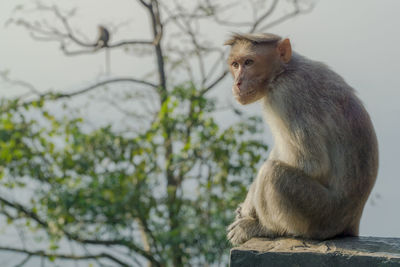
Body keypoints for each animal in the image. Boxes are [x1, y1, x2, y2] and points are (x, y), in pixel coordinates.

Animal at [225, 34, 378, 247]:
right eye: (235, 64)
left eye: (249, 62)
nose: (238, 83)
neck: (283, 71)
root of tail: (352, 221)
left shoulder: (287, 95)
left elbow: (312, 164)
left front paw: (251, 212)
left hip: (319, 215)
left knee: (273, 172)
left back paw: (265, 228)